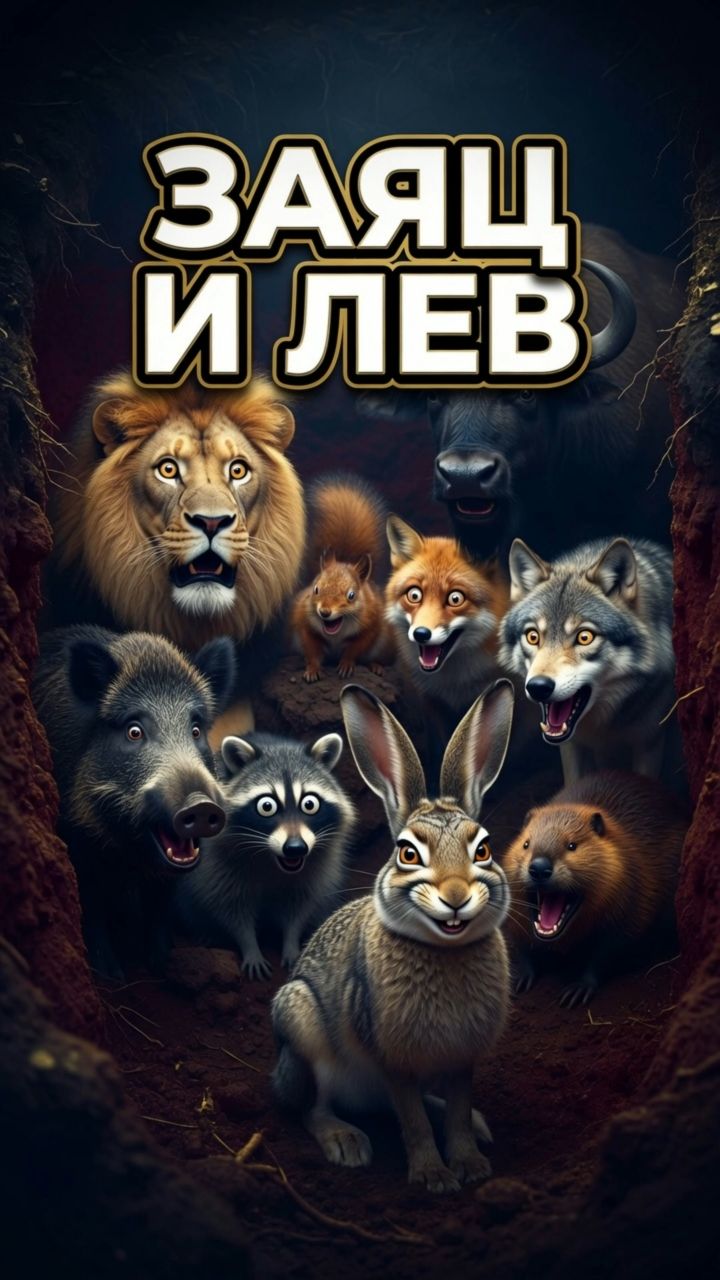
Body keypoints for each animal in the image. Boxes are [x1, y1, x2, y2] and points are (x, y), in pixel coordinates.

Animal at [271, 678, 514, 1193]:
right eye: (407, 853)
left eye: (483, 850)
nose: (456, 895)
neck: (443, 949)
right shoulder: (393, 1058)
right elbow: (412, 1121)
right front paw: (433, 1177)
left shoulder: (462, 1060)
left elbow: (456, 1111)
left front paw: (470, 1164)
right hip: (301, 1024)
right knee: (310, 1108)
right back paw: (345, 1142)